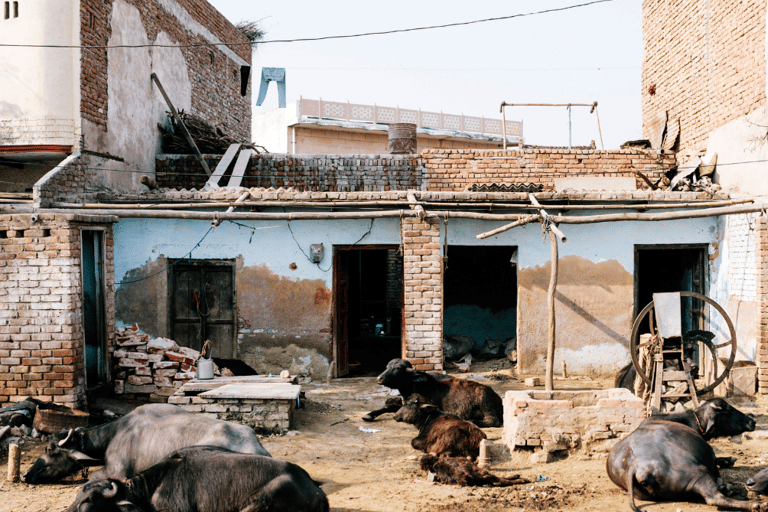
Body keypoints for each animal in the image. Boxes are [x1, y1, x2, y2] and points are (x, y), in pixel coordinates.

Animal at [364, 356, 504, 428]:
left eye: (397, 369)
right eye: (387, 366)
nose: (379, 378)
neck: (416, 386)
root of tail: (497, 398)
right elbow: (388, 405)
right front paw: (369, 415)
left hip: (484, 400)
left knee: (493, 421)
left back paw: (471, 421)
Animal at [608, 400, 760, 512]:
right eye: (728, 410)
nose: (752, 421)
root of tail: (634, 466)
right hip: (698, 473)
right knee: (714, 497)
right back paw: (755, 505)